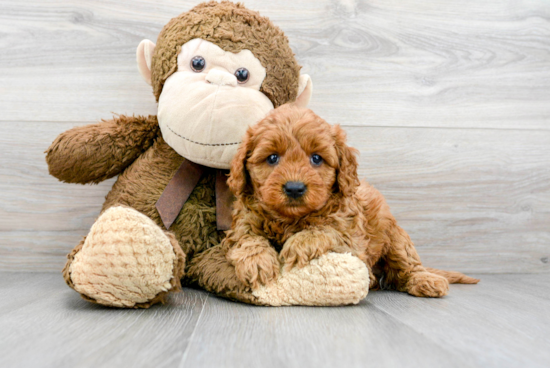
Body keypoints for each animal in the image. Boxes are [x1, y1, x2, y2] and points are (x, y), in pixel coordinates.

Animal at [222, 103, 480, 296]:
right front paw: (258, 262)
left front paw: (299, 244)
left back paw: (427, 281)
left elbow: (326, 230)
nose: (294, 188)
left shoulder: (352, 240)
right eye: (272, 158)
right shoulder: (241, 225)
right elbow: (248, 239)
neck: (290, 220)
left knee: (409, 266)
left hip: (396, 238)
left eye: (316, 158)